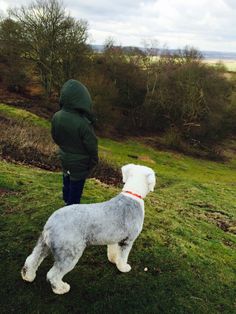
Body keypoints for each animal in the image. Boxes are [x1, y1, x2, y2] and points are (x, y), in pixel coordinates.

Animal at [21, 164, 156, 294]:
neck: (133, 195)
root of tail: (50, 225)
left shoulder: (114, 239)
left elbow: (113, 251)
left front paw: (113, 260)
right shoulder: (128, 240)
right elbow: (123, 256)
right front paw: (123, 267)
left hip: (44, 245)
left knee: (32, 260)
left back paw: (28, 276)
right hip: (70, 253)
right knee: (53, 274)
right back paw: (61, 289)